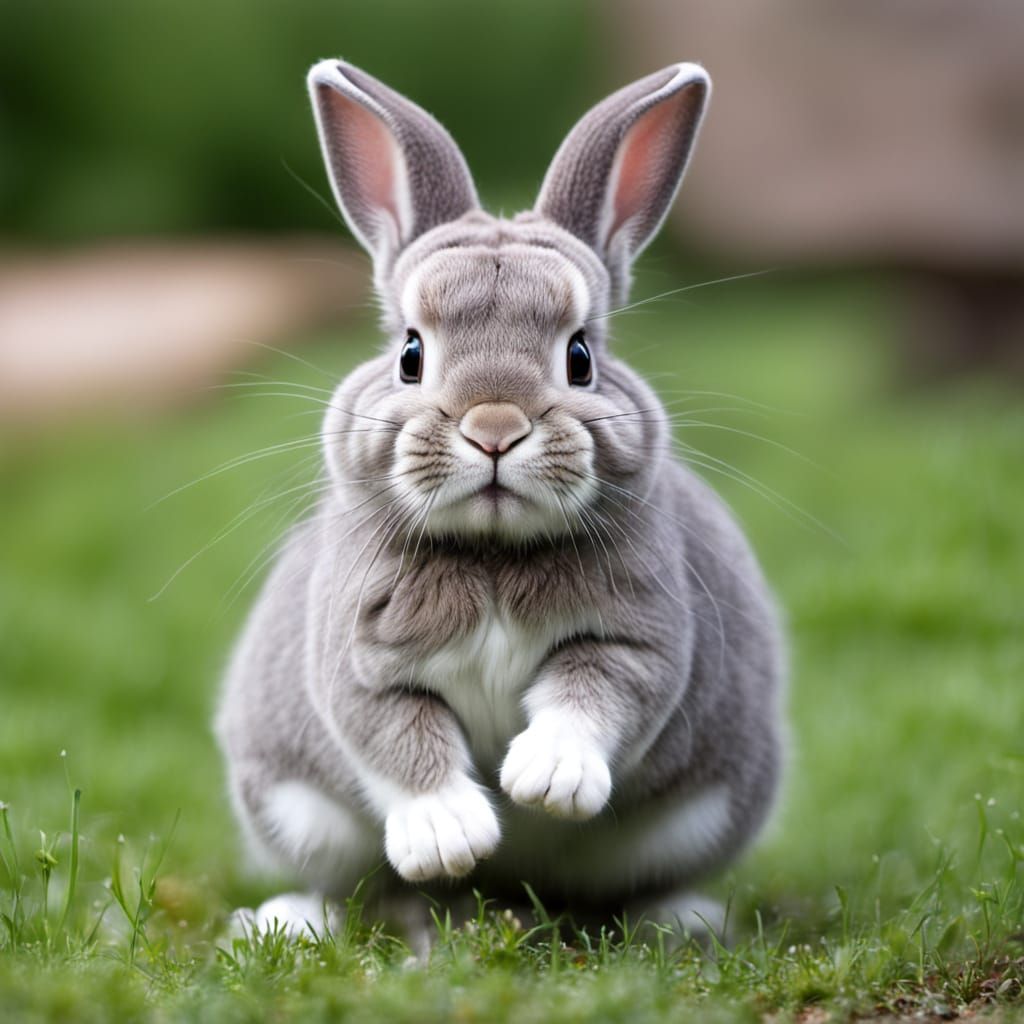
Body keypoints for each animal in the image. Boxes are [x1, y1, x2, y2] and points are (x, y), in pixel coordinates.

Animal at [216, 57, 784, 947]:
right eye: (411, 354)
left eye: (581, 357)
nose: (493, 429)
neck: (489, 551)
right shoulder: (357, 667)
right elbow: (397, 737)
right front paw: (452, 835)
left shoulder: (639, 639)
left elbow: (593, 694)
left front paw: (545, 782)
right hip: (299, 813)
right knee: (354, 887)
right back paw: (288, 921)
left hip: (703, 813)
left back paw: (685, 919)